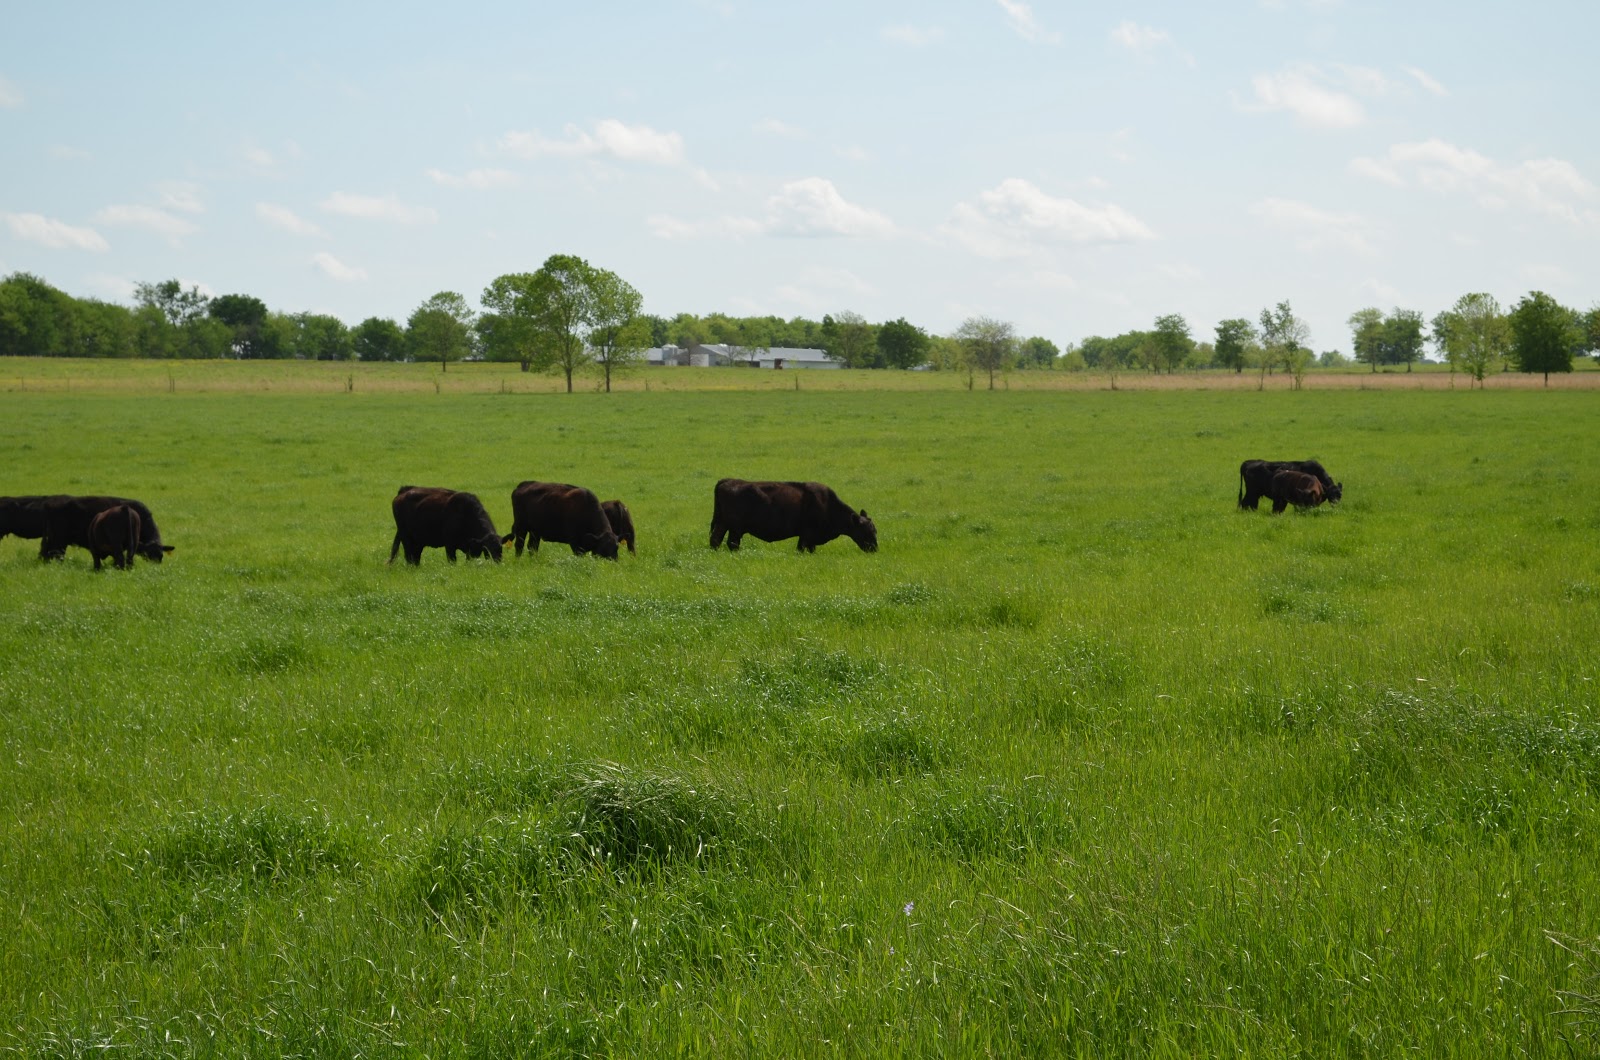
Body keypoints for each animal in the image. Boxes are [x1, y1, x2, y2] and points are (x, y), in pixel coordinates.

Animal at [709, 478, 878, 553]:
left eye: (875, 530)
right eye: (866, 531)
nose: (874, 548)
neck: (828, 504)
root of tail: (728, 481)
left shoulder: (807, 537)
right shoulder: (807, 535)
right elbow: (803, 548)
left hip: (724, 525)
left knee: (716, 540)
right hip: (735, 529)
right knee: (731, 543)